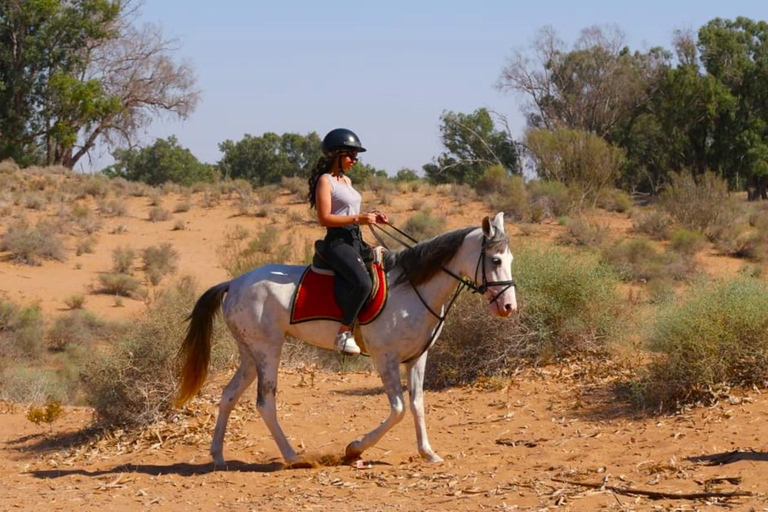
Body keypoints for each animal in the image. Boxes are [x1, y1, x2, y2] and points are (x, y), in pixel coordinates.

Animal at [175, 212, 517, 465]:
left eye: (510, 259)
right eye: (496, 261)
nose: (508, 307)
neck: (411, 287)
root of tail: (234, 283)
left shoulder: (417, 358)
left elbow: (417, 404)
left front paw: (427, 452)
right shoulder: (385, 359)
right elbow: (398, 409)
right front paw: (355, 449)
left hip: (249, 355)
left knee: (229, 395)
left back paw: (218, 456)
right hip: (267, 351)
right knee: (265, 403)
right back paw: (292, 456)